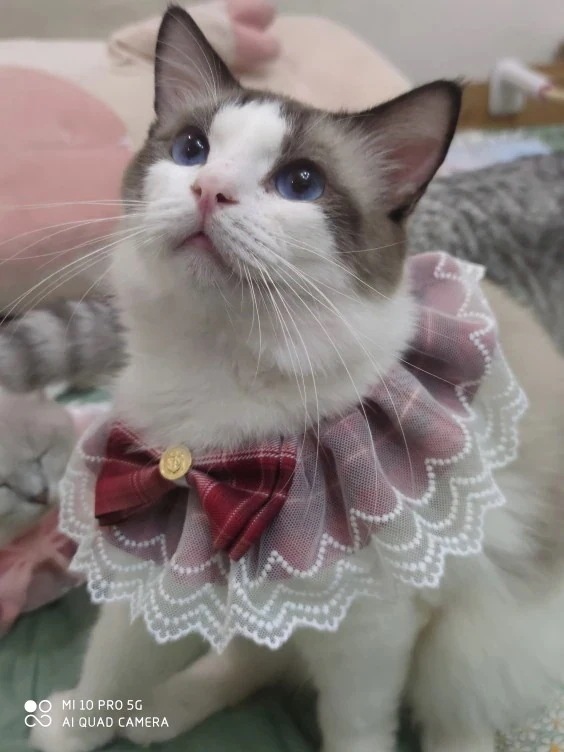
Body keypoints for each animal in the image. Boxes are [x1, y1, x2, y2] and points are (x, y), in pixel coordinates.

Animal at [23, 7, 564, 752]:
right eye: (191, 149)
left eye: (301, 183)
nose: (208, 190)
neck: (220, 376)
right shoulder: (163, 547)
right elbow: (116, 662)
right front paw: (74, 729)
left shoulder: (368, 633)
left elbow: (355, 728)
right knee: (251, 662)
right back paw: (164, 711)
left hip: (466, 644)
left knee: (458, 721)